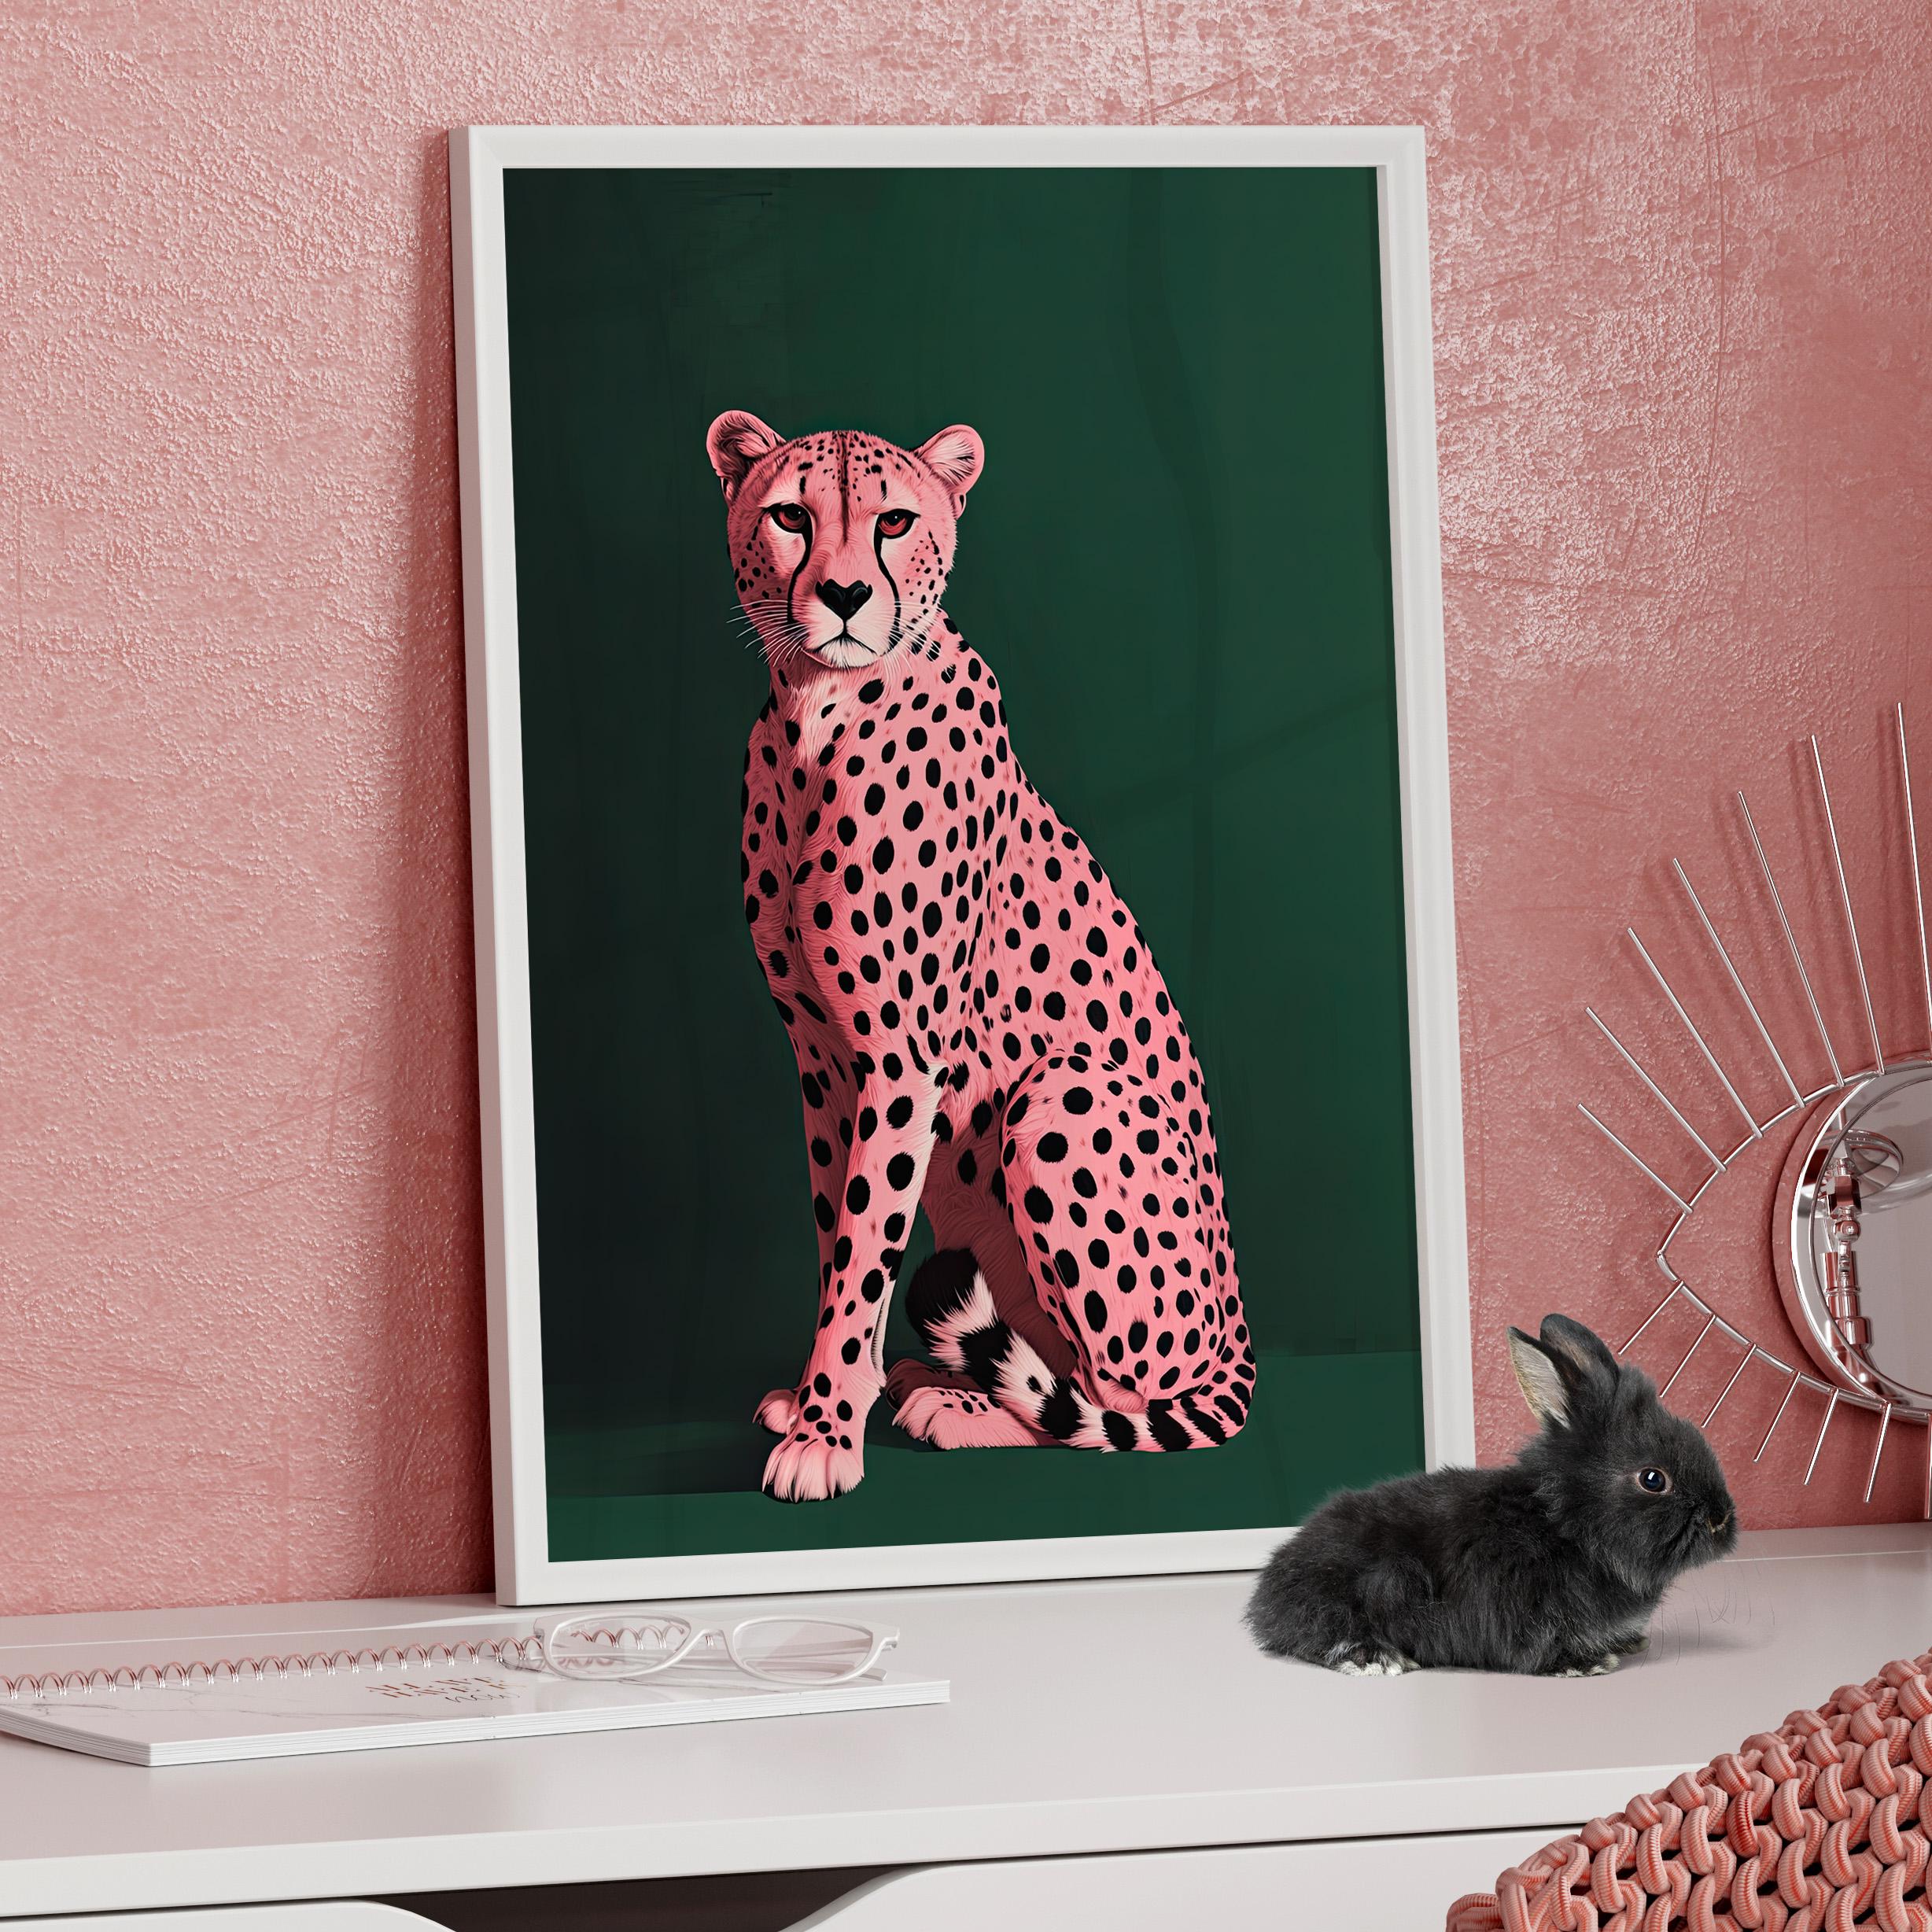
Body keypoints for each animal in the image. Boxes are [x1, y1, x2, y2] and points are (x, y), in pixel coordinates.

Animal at [708, 410, 1256, 1502]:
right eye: (790, 515)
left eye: (894, 522)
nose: (843, 595)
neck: (816, 710)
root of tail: (1239, 1338)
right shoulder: (823, 1062)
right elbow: (841, 1233)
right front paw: (821, 1396)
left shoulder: (900, 1057)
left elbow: (865, 1241)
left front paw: (826, 1432)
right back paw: (932, 1373)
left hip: (1062, 1093)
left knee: (1110, 1408)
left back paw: (954, 1406)